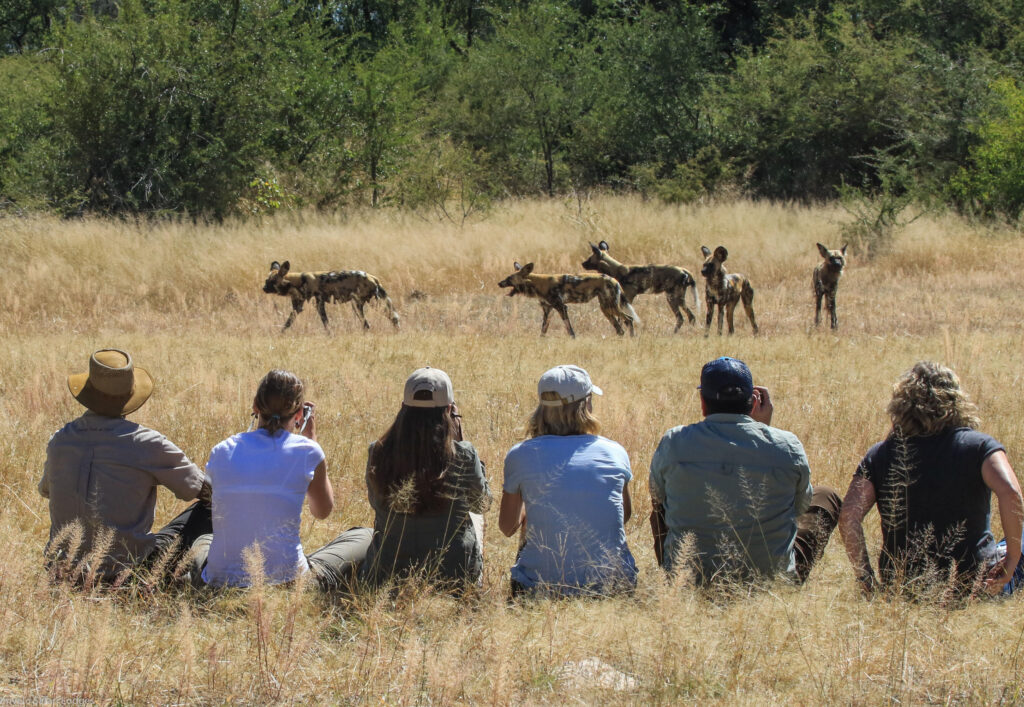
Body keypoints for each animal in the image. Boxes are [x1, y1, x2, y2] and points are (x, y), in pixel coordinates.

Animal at [262, 260, 401, 331]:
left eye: (272, 282)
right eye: (266, 281)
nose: (263, 288)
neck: (298, 280)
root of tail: (373, 277)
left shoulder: (318, 303)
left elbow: (325, 323)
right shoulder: (298, 306)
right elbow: (288, 323)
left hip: (361, 305)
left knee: (368, 324)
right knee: (390, 319)